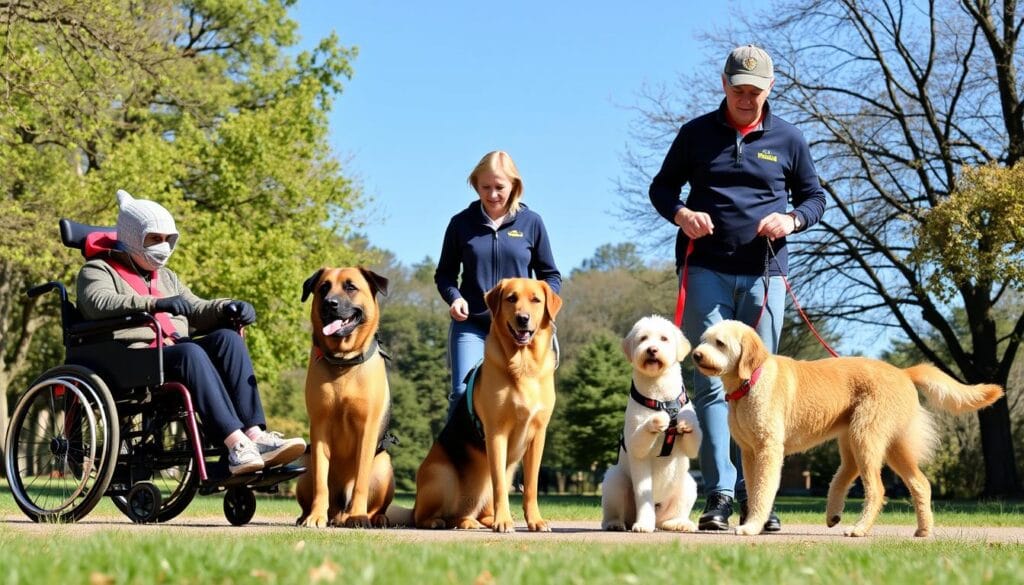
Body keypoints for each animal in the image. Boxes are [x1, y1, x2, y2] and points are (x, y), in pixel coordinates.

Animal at [296, 268, 395, 528]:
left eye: (351, 287)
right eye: (323, 288)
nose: (330, 303)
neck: (343, 362)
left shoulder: (367, 428)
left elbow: (361, 481)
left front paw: (358, 516)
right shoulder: (319, 427)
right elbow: (321, 481)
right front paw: (315, 516)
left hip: (384, 465)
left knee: (374, 503)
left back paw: (373, 517)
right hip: (305, 466)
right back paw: (308, 515)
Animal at [395, 276, 565, 532]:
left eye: (536, 300)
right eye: (511, 298)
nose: (523, 319)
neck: (523, 365)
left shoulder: (538, 435)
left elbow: (531, 486)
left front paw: (534, 520)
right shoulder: (496, 432)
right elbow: (499, 486)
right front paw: (503, 521)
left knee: (474, 511)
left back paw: (473, 520)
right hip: (442, 476)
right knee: (427, 517)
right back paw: (443, 521)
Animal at [598, 315, 704, 536]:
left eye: (664, 338)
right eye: (643, 338)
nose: (652, 349)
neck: (660, 396)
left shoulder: (691, 443)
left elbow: (693, 441)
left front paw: (684, 422)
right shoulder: (638, 450)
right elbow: (640, 441)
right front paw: (643, 524)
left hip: (688, 484)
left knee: (669, 518)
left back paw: (679, 523)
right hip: (615, 481)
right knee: (613, 513)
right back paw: (616, 523)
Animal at [692, 323, 1003, 536]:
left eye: (720, 343)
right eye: (704, 339)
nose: (696, 355)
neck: (750, 381)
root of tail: (902, 372)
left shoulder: (769, 449)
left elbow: (762, 491)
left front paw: (752, 526)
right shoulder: (748, 451)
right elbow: (752, 487)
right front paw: (752, 522)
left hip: (867, 437)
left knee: (876, 489)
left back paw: (859, 529)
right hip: (878, 442)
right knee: (917, 483)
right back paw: (920, 530)